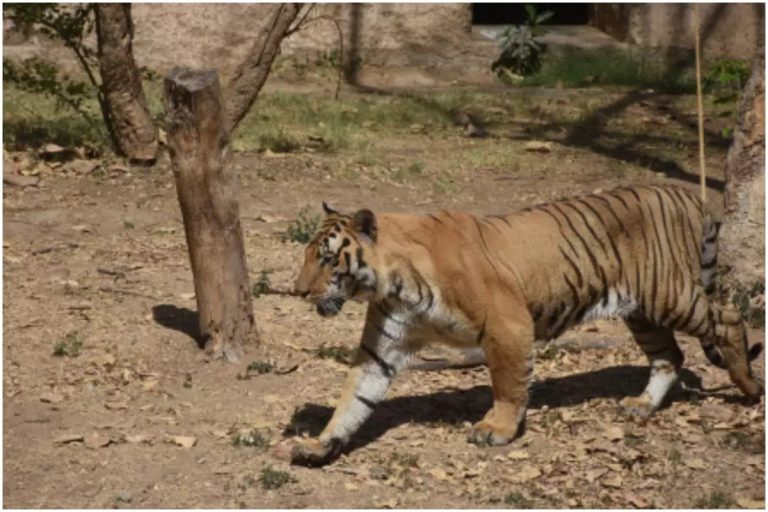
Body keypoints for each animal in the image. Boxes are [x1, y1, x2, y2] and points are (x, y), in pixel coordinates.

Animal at [289, 184, 764, 466]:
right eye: (308, 255)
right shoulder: (380, 349)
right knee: (670, 356)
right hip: (643, 314)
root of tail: (687, 192)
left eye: (327, 259)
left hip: (669, 297)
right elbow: (353, 398)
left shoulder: (508, 325)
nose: (297, 291)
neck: (392, 283)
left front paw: (496, 430)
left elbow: (508, 384)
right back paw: (642, 405)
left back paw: (749, 387)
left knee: (728, 318)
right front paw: (320, 443)